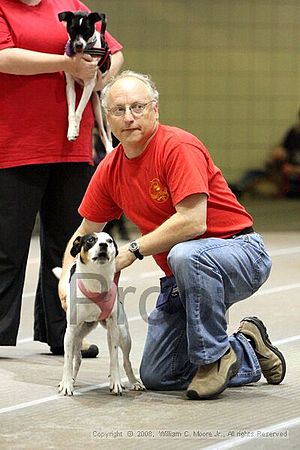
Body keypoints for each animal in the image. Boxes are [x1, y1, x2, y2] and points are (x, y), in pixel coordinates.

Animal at [53, 234, 145, 396]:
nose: (103, 245)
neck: (96, 283)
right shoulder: (70, 331)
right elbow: (67, 360)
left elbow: (114, 358)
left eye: (109, 241)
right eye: (90, 240)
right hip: (77, 334)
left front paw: (116, 382)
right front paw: (66, 384)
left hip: (122, 334)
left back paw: (134, 382)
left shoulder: (114, 328)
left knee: (125, 361)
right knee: (77, 359)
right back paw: (71, 380)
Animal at [58, 10, 112, 149]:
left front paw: (75, 130)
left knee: (108, 131)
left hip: (103, 105)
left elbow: (78, 111)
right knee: (102, 133)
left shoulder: (89, 84)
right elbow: (72, 112)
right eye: (72, 28)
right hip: (96, 106)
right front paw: (71, 130)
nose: (78, 45)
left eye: (87, 29)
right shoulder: (70, 85)